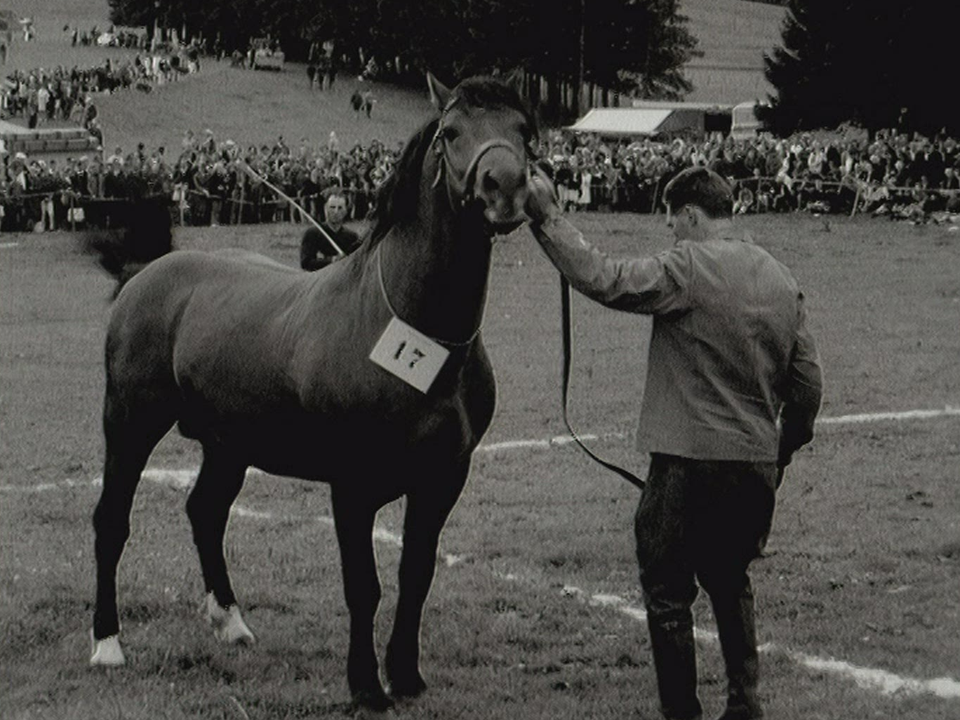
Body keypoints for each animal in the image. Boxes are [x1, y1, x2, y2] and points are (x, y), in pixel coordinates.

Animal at [88, 74, 540, 708]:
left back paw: (231, 622)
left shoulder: (442, 480)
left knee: (205, 511)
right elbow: (364, 586)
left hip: (227, 445)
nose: (506, 188)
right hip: (129, 425)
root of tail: (144, 274)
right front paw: (366, 687)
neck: (405, 326)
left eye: (525, 130)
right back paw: (108, 644)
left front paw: (406, 676)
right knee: (112, 521)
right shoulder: (351, 486)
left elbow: (416, 576)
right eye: (451, 132)